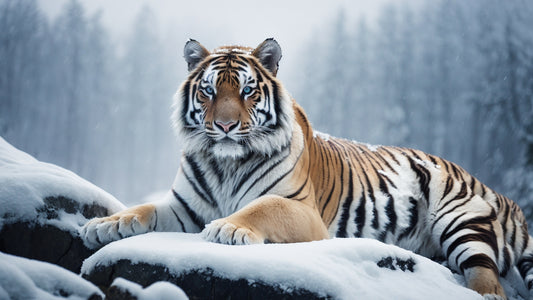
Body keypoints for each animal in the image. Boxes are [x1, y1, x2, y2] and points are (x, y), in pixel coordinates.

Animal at [81, 38, 532, 298]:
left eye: (247, 91)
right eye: (208, 91)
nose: (225, 126)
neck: (225, 164)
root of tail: (499, 194)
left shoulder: (301, 210)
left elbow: (261, 207)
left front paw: (228, 229)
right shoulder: (183, 209)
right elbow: (143, 210)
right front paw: (103, 226)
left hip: (461, 221)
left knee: (488, 279)